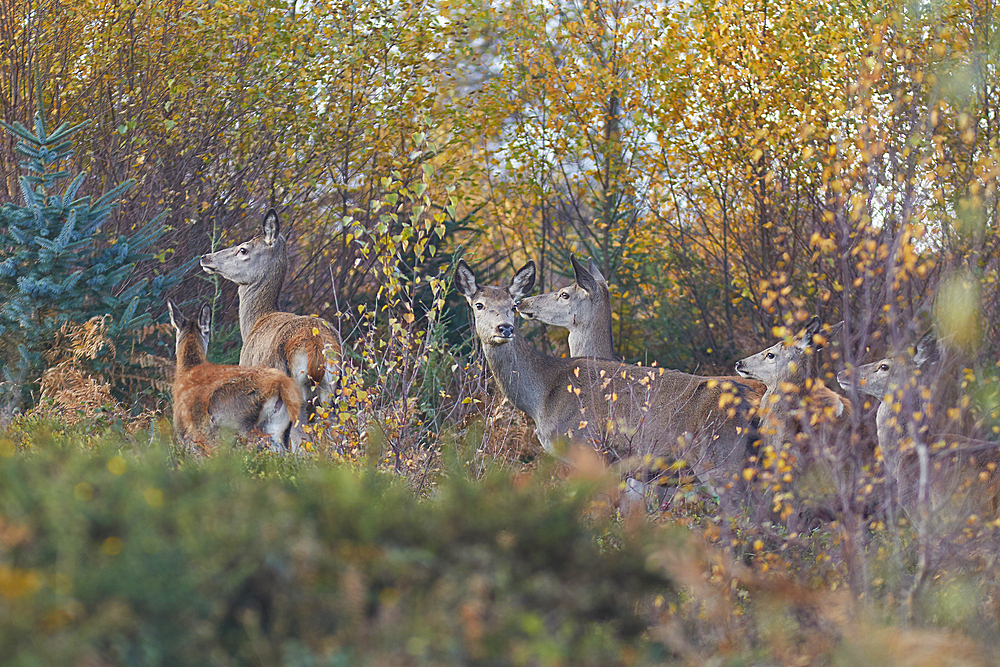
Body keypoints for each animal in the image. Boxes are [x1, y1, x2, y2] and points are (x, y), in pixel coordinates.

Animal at [456, 260, 756, 500]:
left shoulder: (589, 448)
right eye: (479, 305)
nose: (505, 327)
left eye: (510, 305)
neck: (541, 395)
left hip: (721, 462)